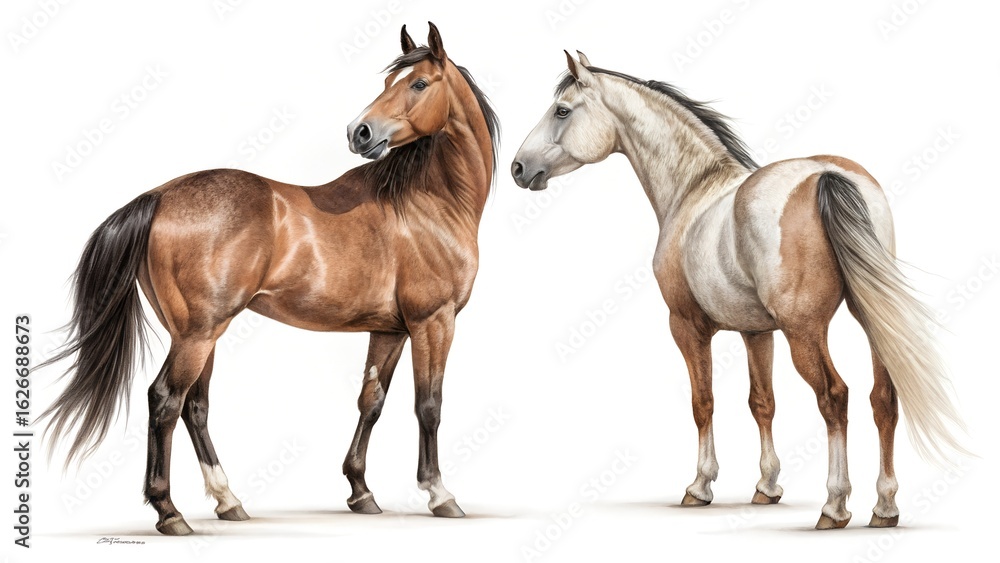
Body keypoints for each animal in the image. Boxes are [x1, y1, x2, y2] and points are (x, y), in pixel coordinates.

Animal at [39, 23, 499, 536]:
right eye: (389, 83)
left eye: (418, 83)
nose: (359, 133)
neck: (429, 202)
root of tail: (158, 195)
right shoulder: (433, 322)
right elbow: (429, 406)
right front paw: (440, 493)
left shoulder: (390, 330)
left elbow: (371, 402)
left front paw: (360, 491)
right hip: (198, 334)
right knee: (165, 400)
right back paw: (170, 512)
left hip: (198, 334)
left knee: (195, 408)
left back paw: (228, 501)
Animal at [511, 51, 965, 529]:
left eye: (562, 111)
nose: (519, 168)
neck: (695, 190)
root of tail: (825, 174)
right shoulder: (757, 332)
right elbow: (762, 402)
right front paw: (767, 487)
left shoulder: (687, 326)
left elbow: (703, 402)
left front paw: (700, 486)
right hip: (870, 318)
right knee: (884, 399)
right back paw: (885, 507)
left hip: (805, 331)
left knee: (834, 396)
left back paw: (835, 505)